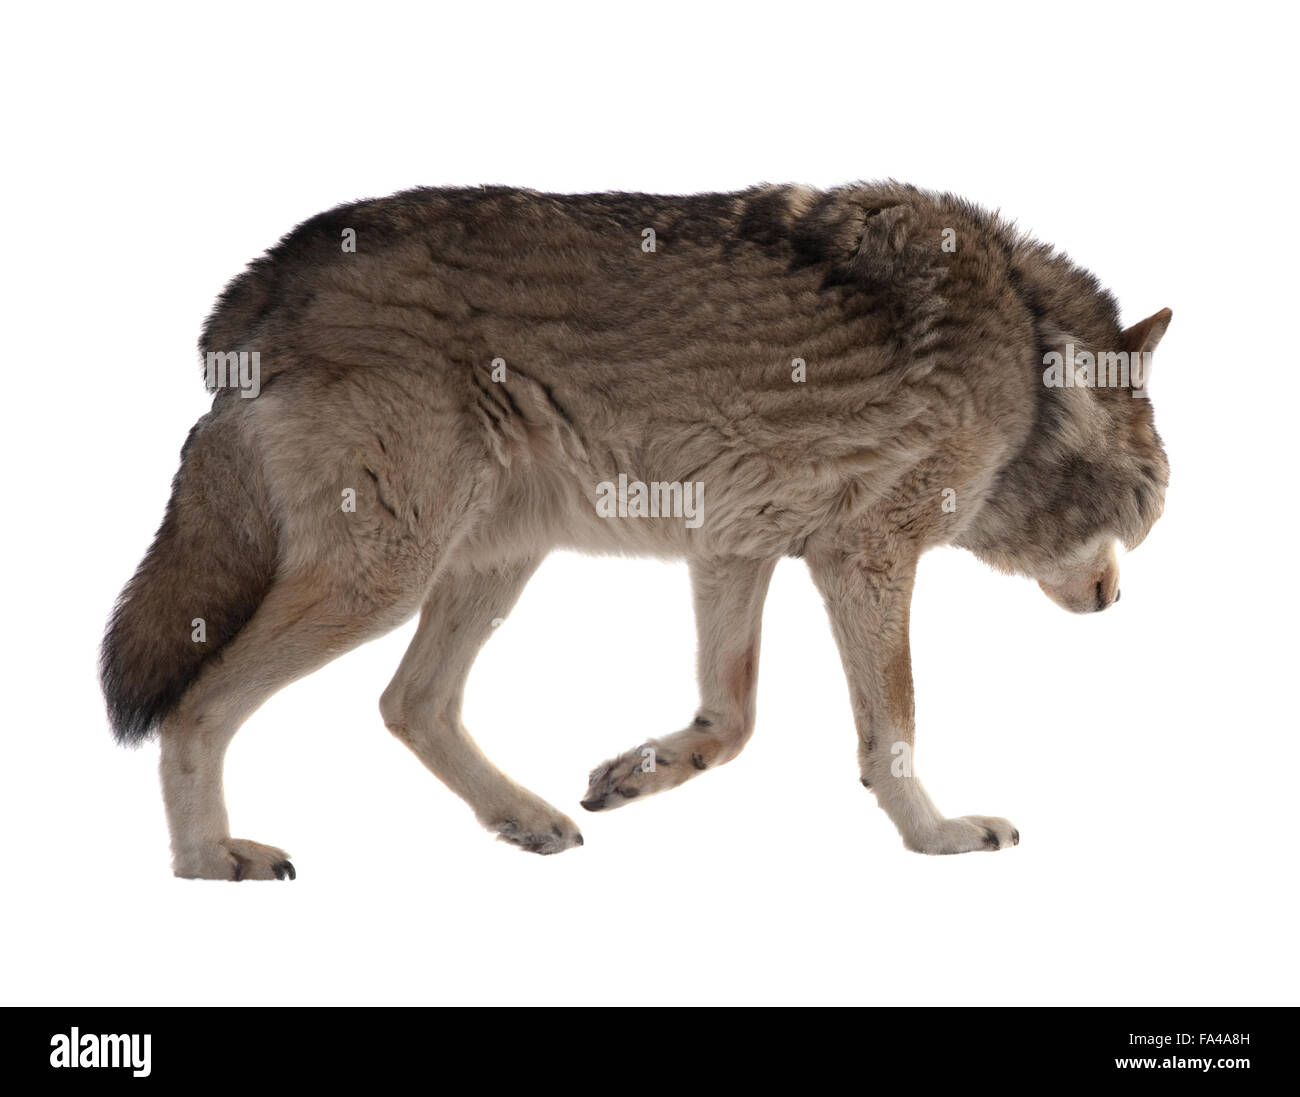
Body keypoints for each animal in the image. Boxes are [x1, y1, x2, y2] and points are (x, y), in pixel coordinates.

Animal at [100, 182, 1171, 879]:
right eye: (1152, 500)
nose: (1117, 597)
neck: (1025, 353)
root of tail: (264, 279)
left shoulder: (735, 547)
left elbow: (732, 721)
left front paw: (639, 772)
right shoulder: (864, 558)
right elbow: (891, 734)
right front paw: (939, 838)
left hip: (492, 563)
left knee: (410, 703)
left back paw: (524, 818)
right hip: (385, 577)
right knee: (198, 705)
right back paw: (206, 859)